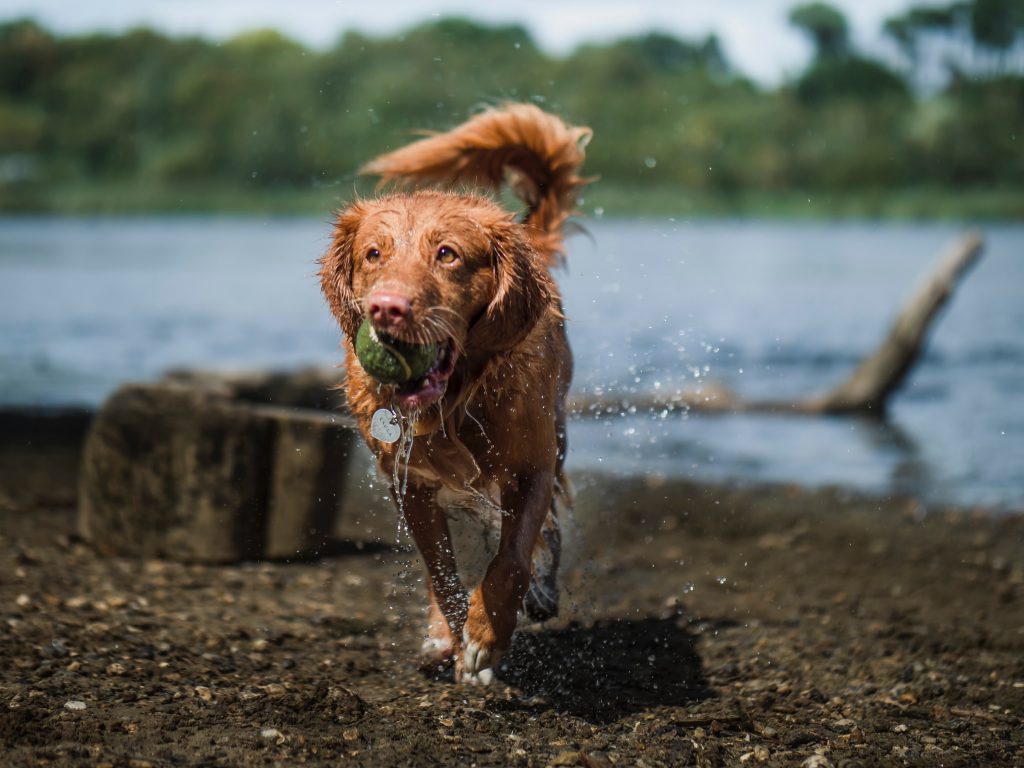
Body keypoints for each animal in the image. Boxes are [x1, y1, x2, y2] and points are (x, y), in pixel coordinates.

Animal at [319, 103, 593, 684]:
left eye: (447, 254)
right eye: (373, 254)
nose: (386, 308)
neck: (454, 403)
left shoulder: (532, 466)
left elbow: (512, 557)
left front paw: (486, 635)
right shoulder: (409, 482)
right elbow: (439, 568)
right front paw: (454, 632)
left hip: (557, 437)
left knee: (549, 533)